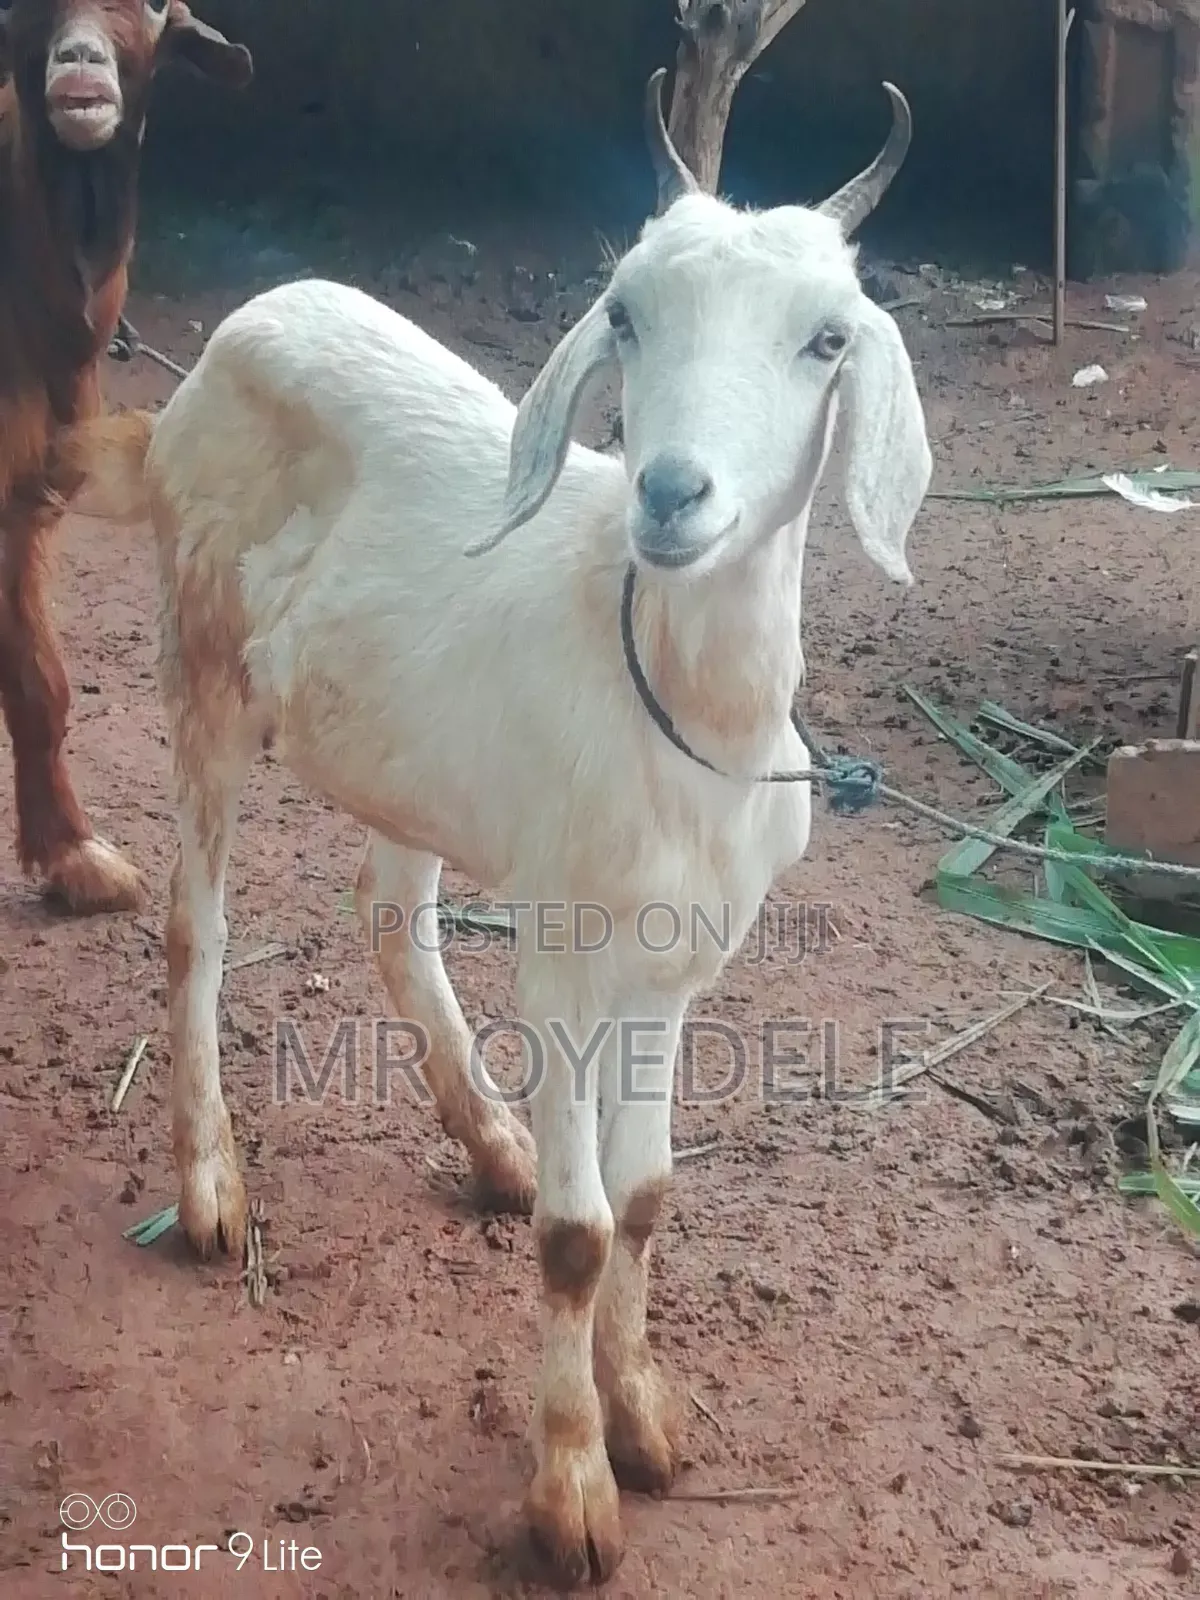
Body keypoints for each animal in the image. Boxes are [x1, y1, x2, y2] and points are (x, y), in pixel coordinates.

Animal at [0, 0, 251, 913]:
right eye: (19, 11)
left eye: (148, 9)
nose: (79, 63)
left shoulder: (23, 490)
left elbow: (38, 681)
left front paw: (72, 857)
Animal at [69, 71, 931, 1587]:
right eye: (627, 313)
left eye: (828, 336)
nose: (672, 493)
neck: (679, 710)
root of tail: (241, 324)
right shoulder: (561, 945)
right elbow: (580, 1236)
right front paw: (571, 1491)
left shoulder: (677, 958)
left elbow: (645, 1199)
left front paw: (643, 1417)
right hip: (200, 657)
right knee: (195, 924)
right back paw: (213, 1185)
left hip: (412, 754)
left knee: (391, 915)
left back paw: (490, 1142)